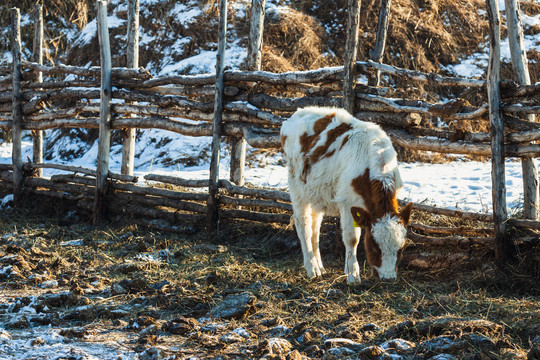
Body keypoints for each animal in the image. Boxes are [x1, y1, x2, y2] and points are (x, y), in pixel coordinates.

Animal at [280, 105, 412, 282]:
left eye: (401, 249)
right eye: (375, 248)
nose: (388, 277)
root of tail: (299, 112)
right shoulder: (348, 202)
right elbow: (352, 238)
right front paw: (353, 275)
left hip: (315, 193)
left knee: (315, 228)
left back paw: (320, 267)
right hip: (296, 187)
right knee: (304, 225)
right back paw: (312, 269)